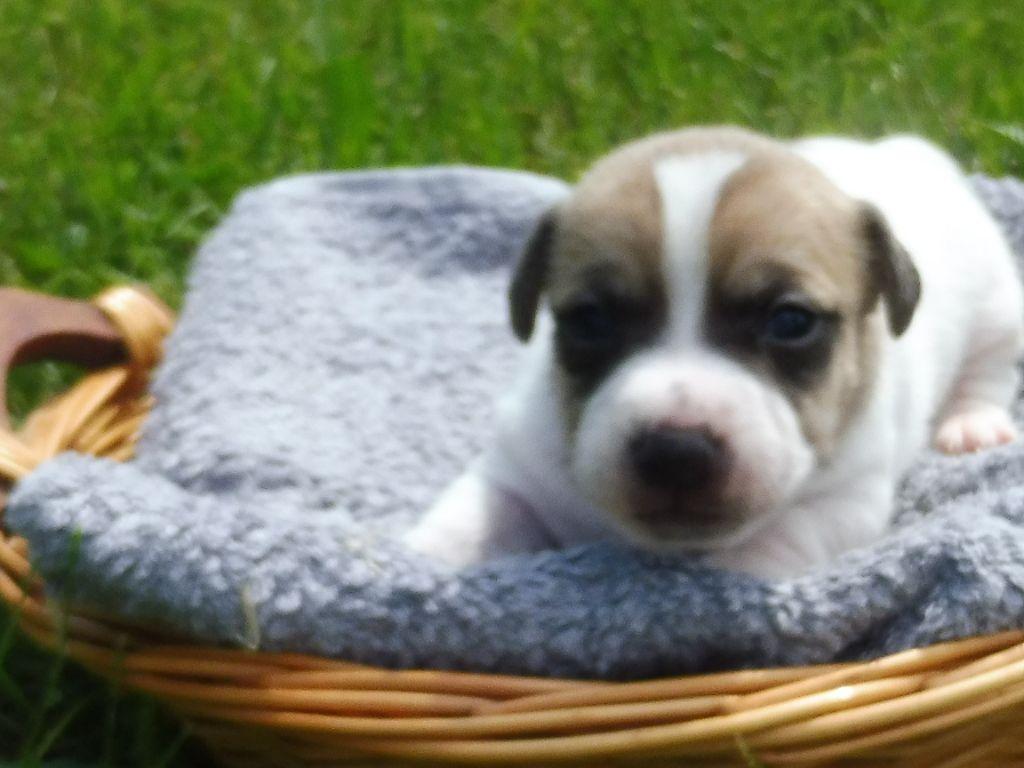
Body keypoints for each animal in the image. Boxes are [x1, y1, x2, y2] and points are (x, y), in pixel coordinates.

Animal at [405, 126, 1024, 579]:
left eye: (791, 321)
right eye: (590, 320)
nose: (676, 452)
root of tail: (900, 147)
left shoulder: (845, 500)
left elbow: (775, 543)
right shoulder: (516, 472)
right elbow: (471, 518)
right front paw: (414, 572)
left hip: (998, 308)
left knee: (989, 370)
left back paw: (971, 427)